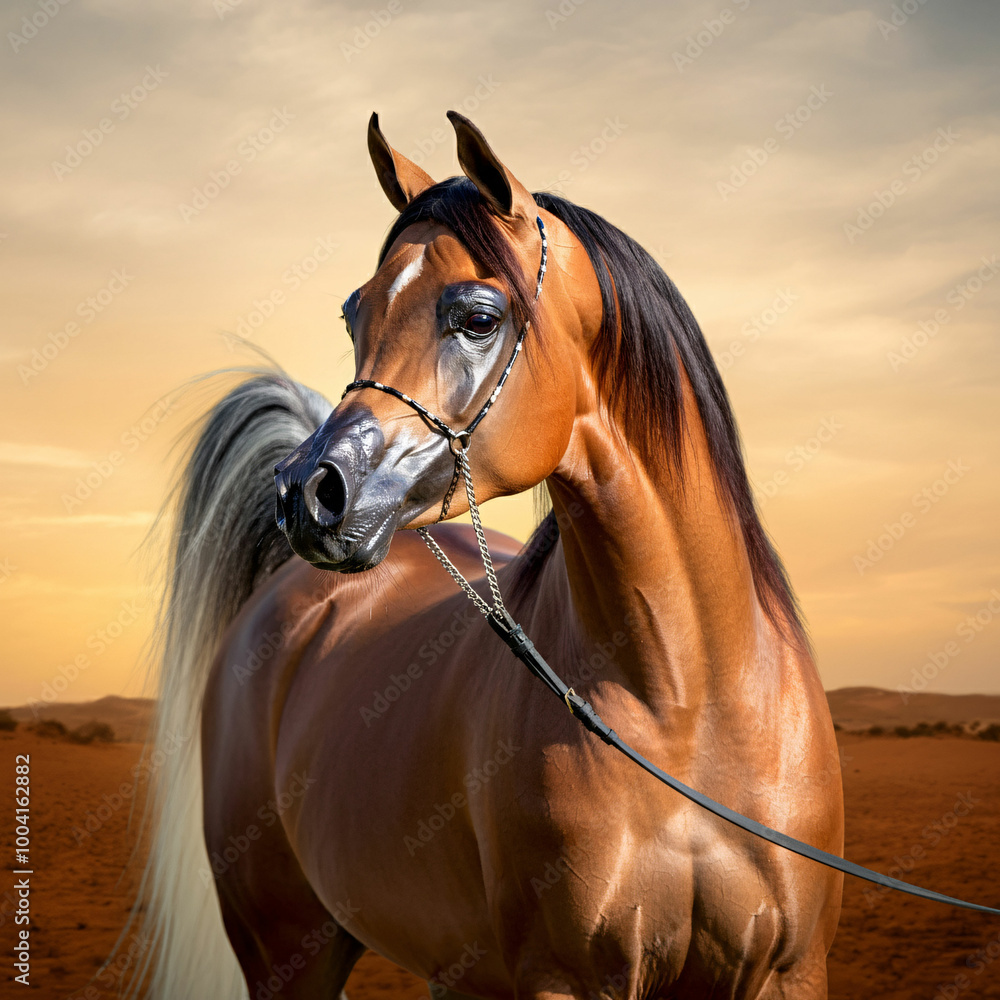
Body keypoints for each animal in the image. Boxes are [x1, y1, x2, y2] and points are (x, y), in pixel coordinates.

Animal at [132, 111, 844, 1000]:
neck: (690, 711)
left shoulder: (790, 971)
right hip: (288, 950)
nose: (307, 491)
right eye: (355, 314)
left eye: (477, 317)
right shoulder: (561, 980)